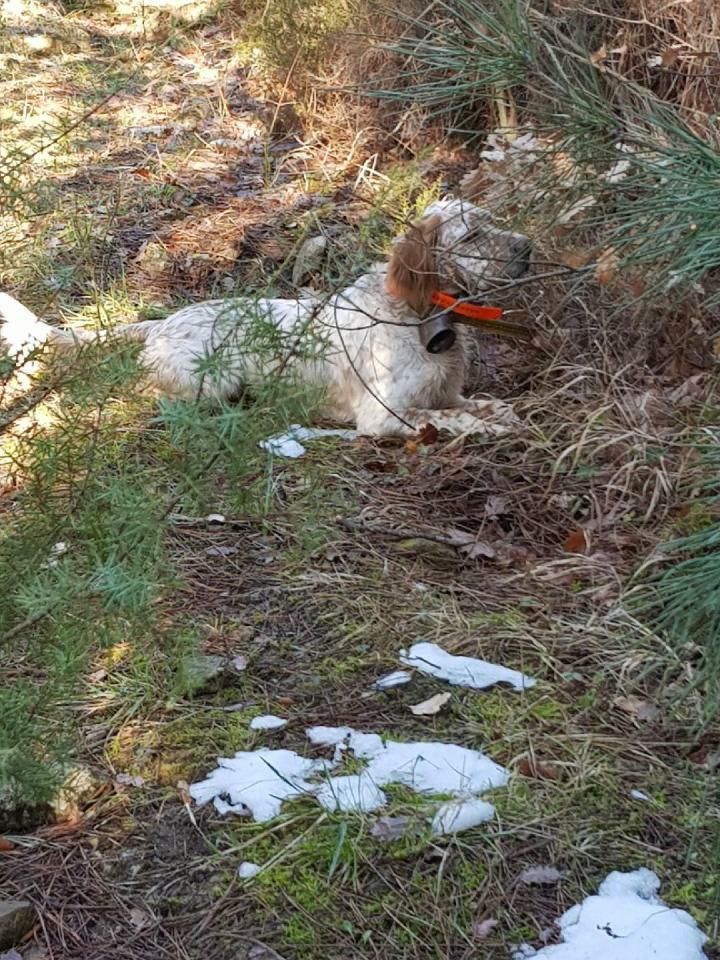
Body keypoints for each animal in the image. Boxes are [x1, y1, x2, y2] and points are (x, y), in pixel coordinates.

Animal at [0, 199, 528, 438]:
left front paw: (500, 414)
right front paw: (492, 427)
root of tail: (163, 321)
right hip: (210, 382)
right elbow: (455, 419)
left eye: (494, 221)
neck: (418, 314)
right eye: (473, 234)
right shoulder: (383, 415)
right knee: (142, 394)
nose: (527, 247)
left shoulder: (447, 391)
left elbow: (480, 406)